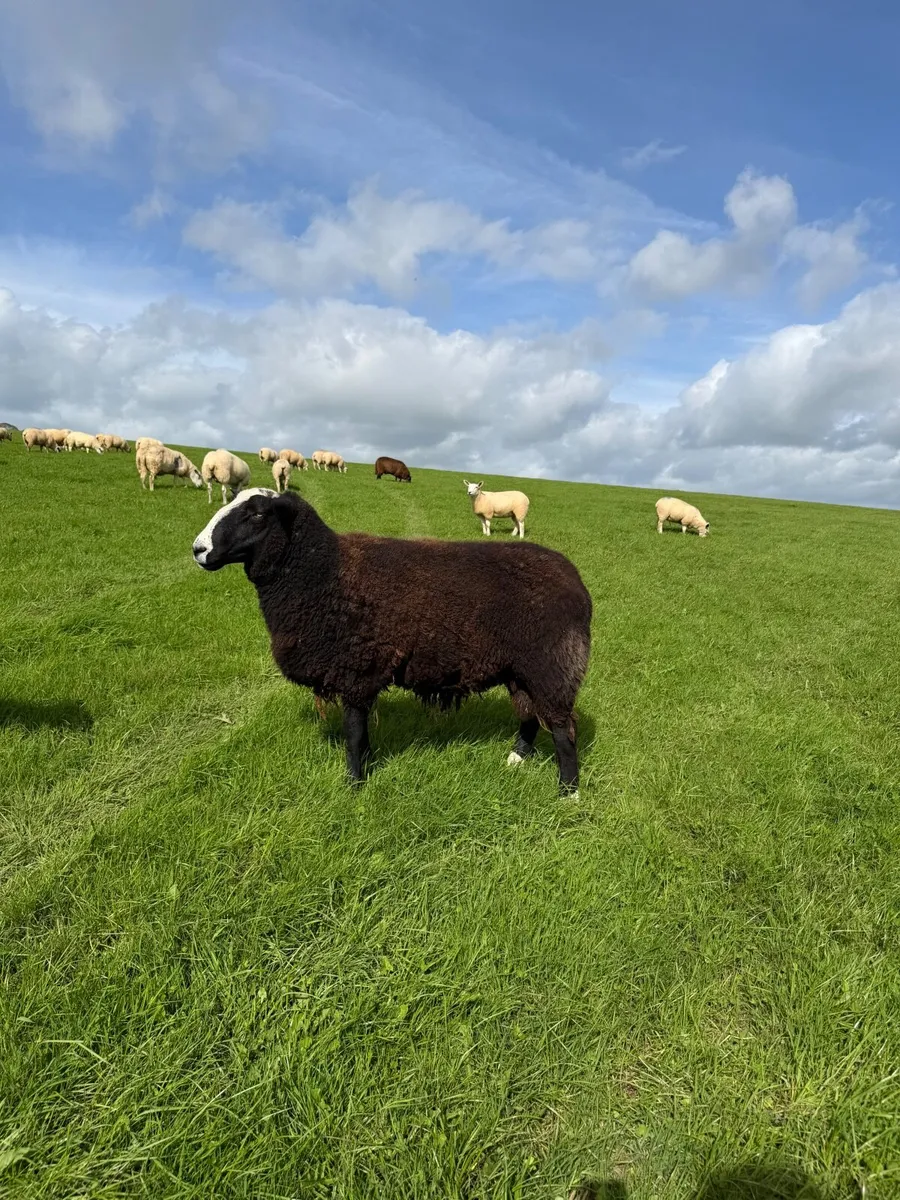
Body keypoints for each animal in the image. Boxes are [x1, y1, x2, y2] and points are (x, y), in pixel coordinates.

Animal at [191, 490, 592, 796]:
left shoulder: (354, 669)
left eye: (257, 513)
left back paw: (568, 792)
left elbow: (353, 734)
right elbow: (362, 735)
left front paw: (353, 785)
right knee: (529, 714)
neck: (323, 572)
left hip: (552, 665)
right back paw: (516, 758)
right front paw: (365, 770)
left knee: (562, 729)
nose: (198, 549)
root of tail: (575, 580)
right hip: (520, 668)